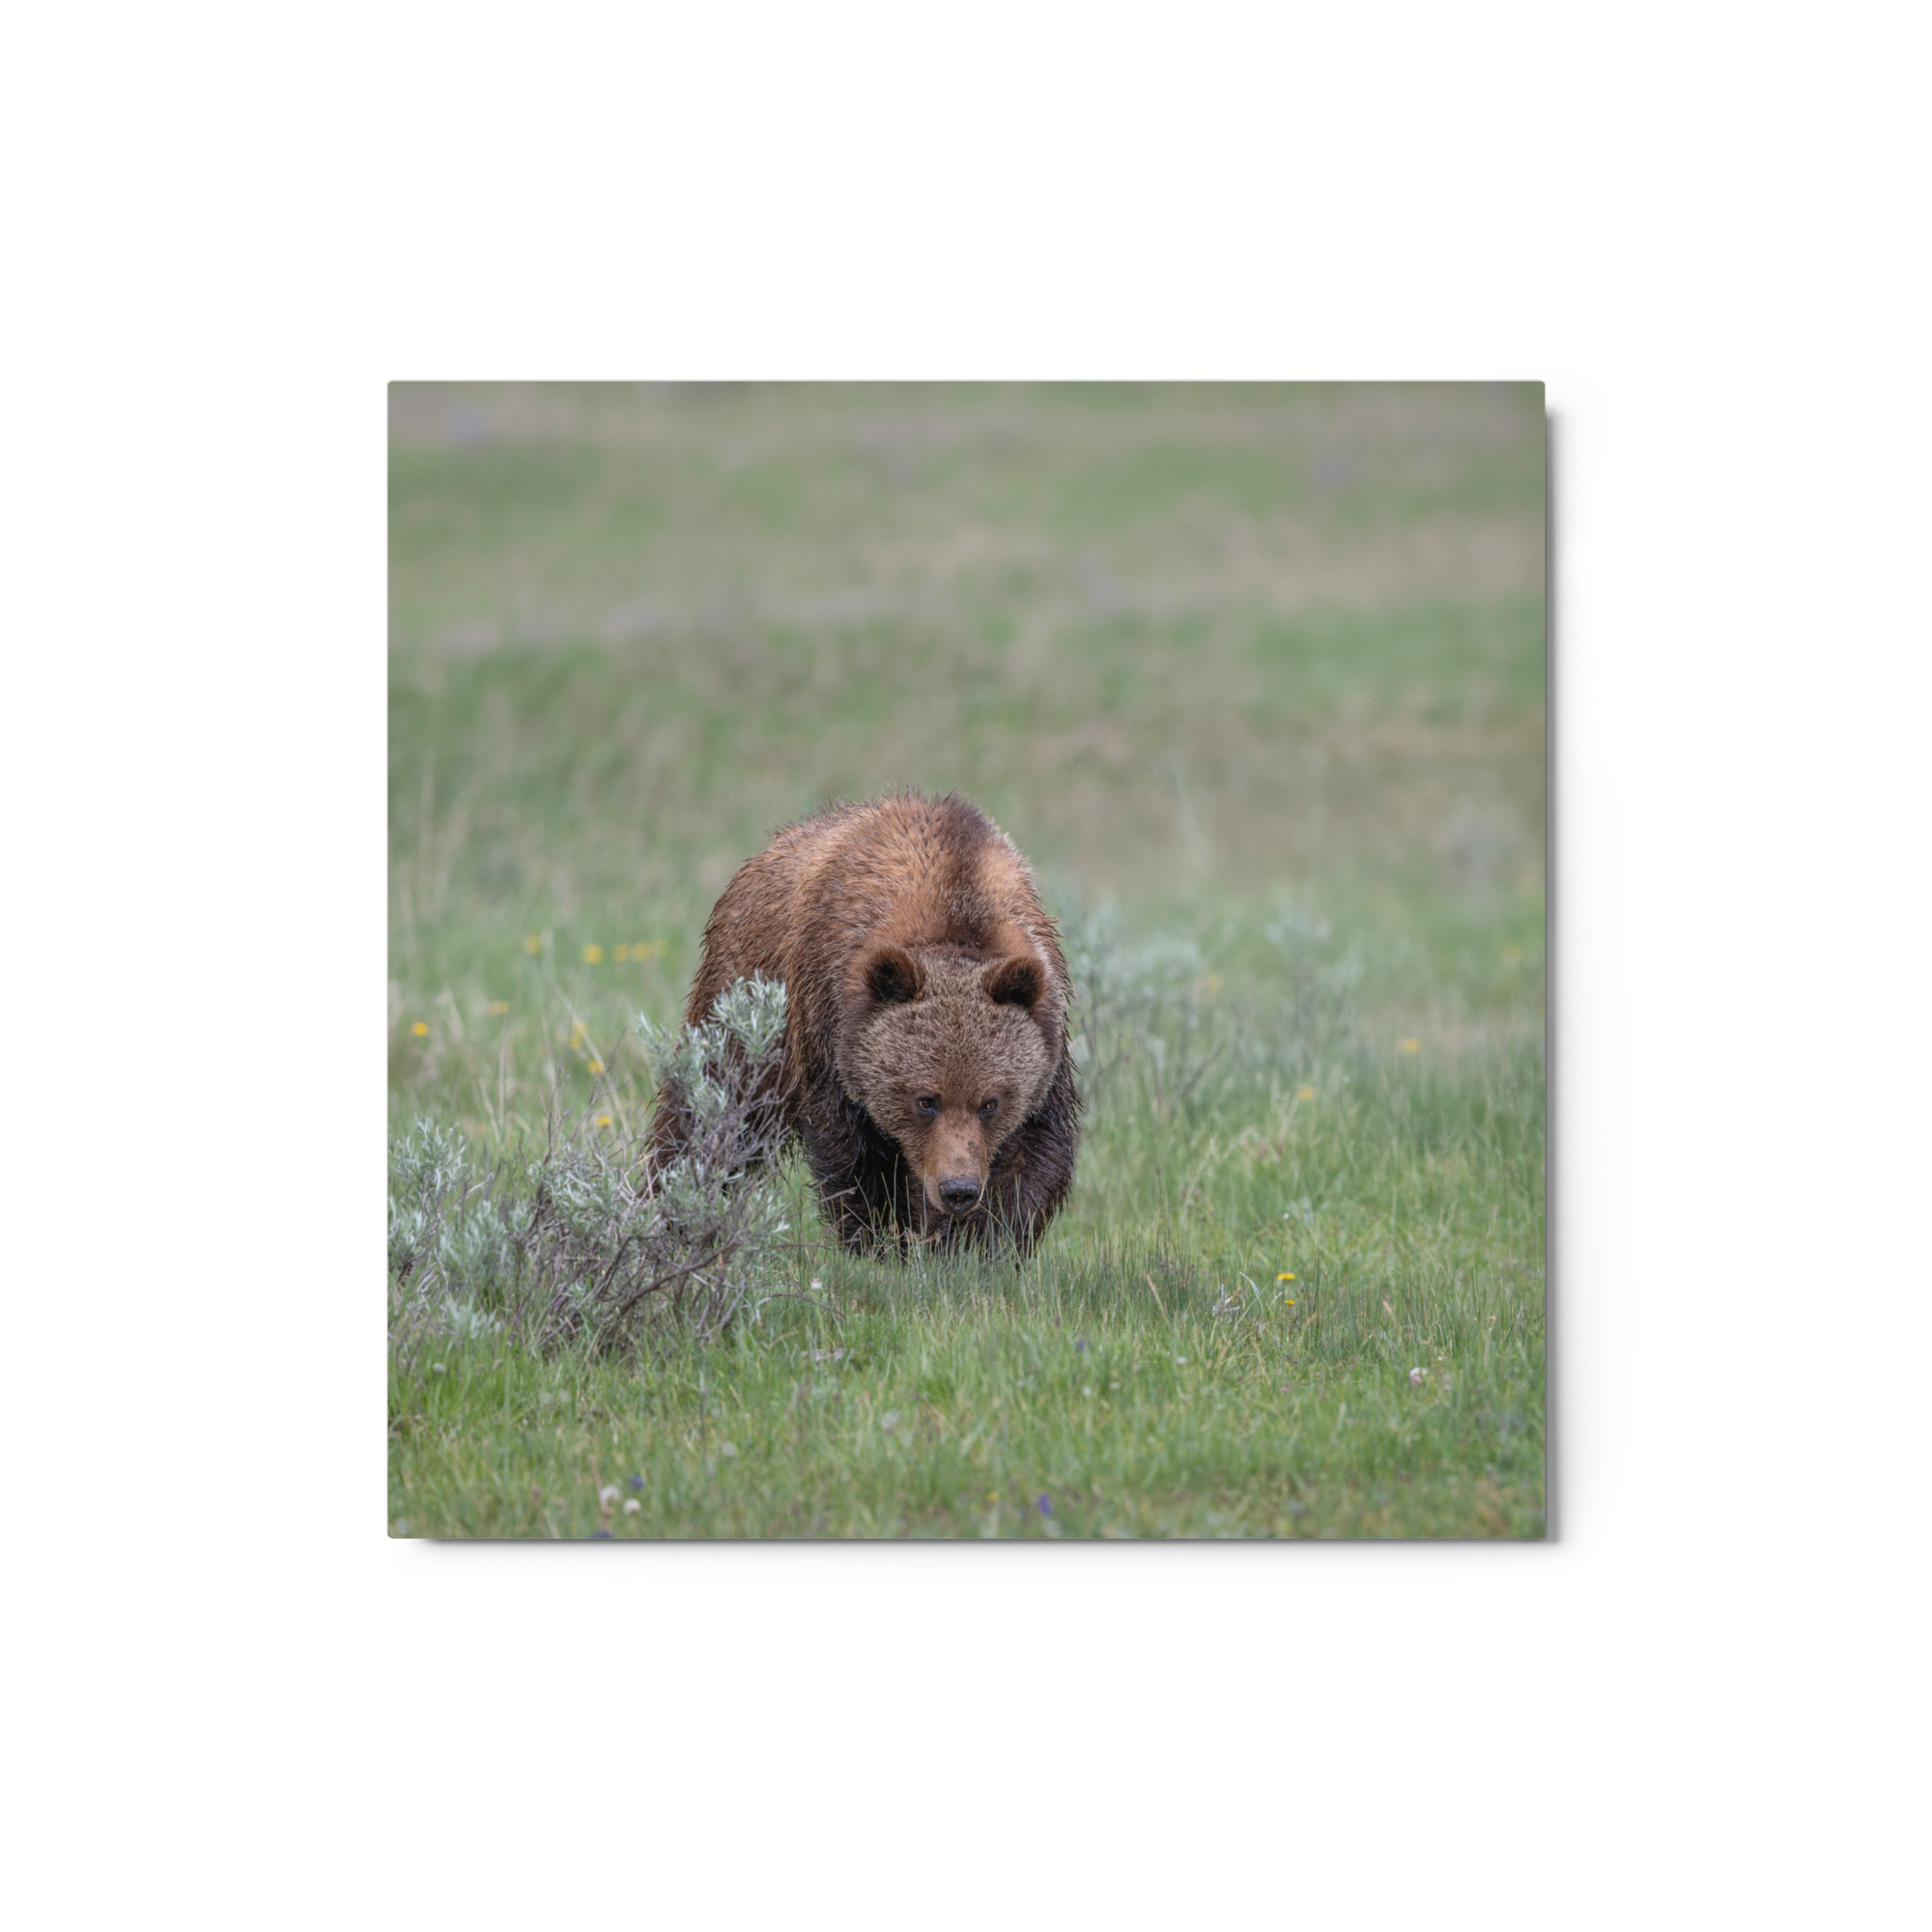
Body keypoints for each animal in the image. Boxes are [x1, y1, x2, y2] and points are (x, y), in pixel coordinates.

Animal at [648, 791, 1081, 1255]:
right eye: (925, 1100)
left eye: (990, 1103)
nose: (958, 1189)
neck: (955, 904)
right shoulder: (829, 1023)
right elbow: (854, 1155)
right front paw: (882, 1241)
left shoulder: (1046, 1035)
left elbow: (1032, 1154)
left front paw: (975, 1244)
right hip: (744, 1004)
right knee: (711, 1111)